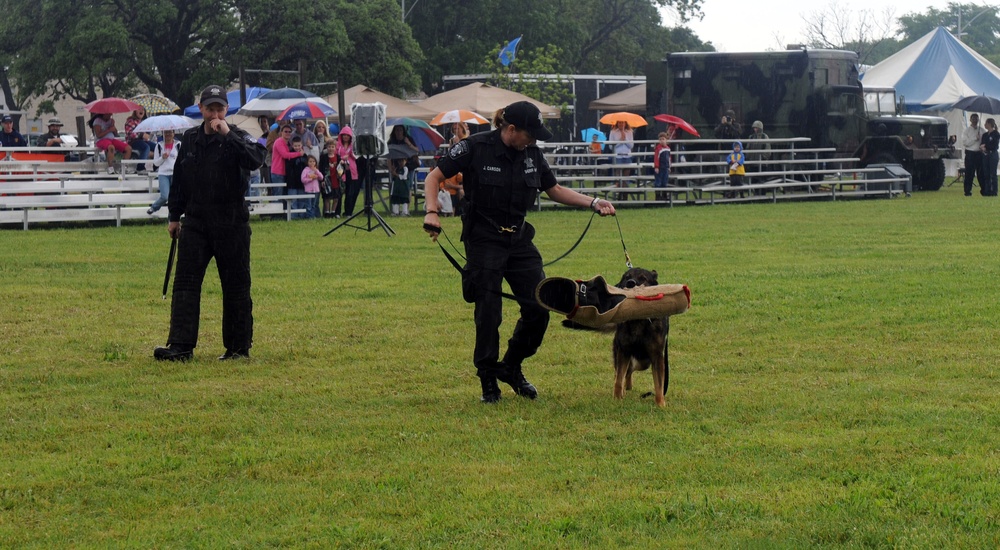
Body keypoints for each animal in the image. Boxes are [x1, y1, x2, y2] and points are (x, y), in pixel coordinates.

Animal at [564, 270, 672, 408]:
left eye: (643, 279)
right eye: (626, 277)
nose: (631, 283)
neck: (638, 321)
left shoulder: (657, 357)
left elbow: (659, 385)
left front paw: (660, 404)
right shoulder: (623, 352)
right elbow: (619, 379)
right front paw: (617, 398)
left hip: (643, 362)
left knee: (630, 371)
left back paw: (629, 387)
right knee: (622, 372)